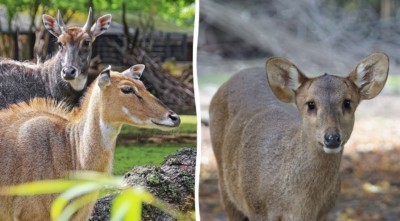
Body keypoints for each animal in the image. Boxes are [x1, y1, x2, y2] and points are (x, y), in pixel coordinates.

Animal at [211, 52, 390, 220]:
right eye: (311, 104)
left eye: (347, 102)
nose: (332, 138)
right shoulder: (256, 207)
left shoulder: (325, 211)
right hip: (226, 187)